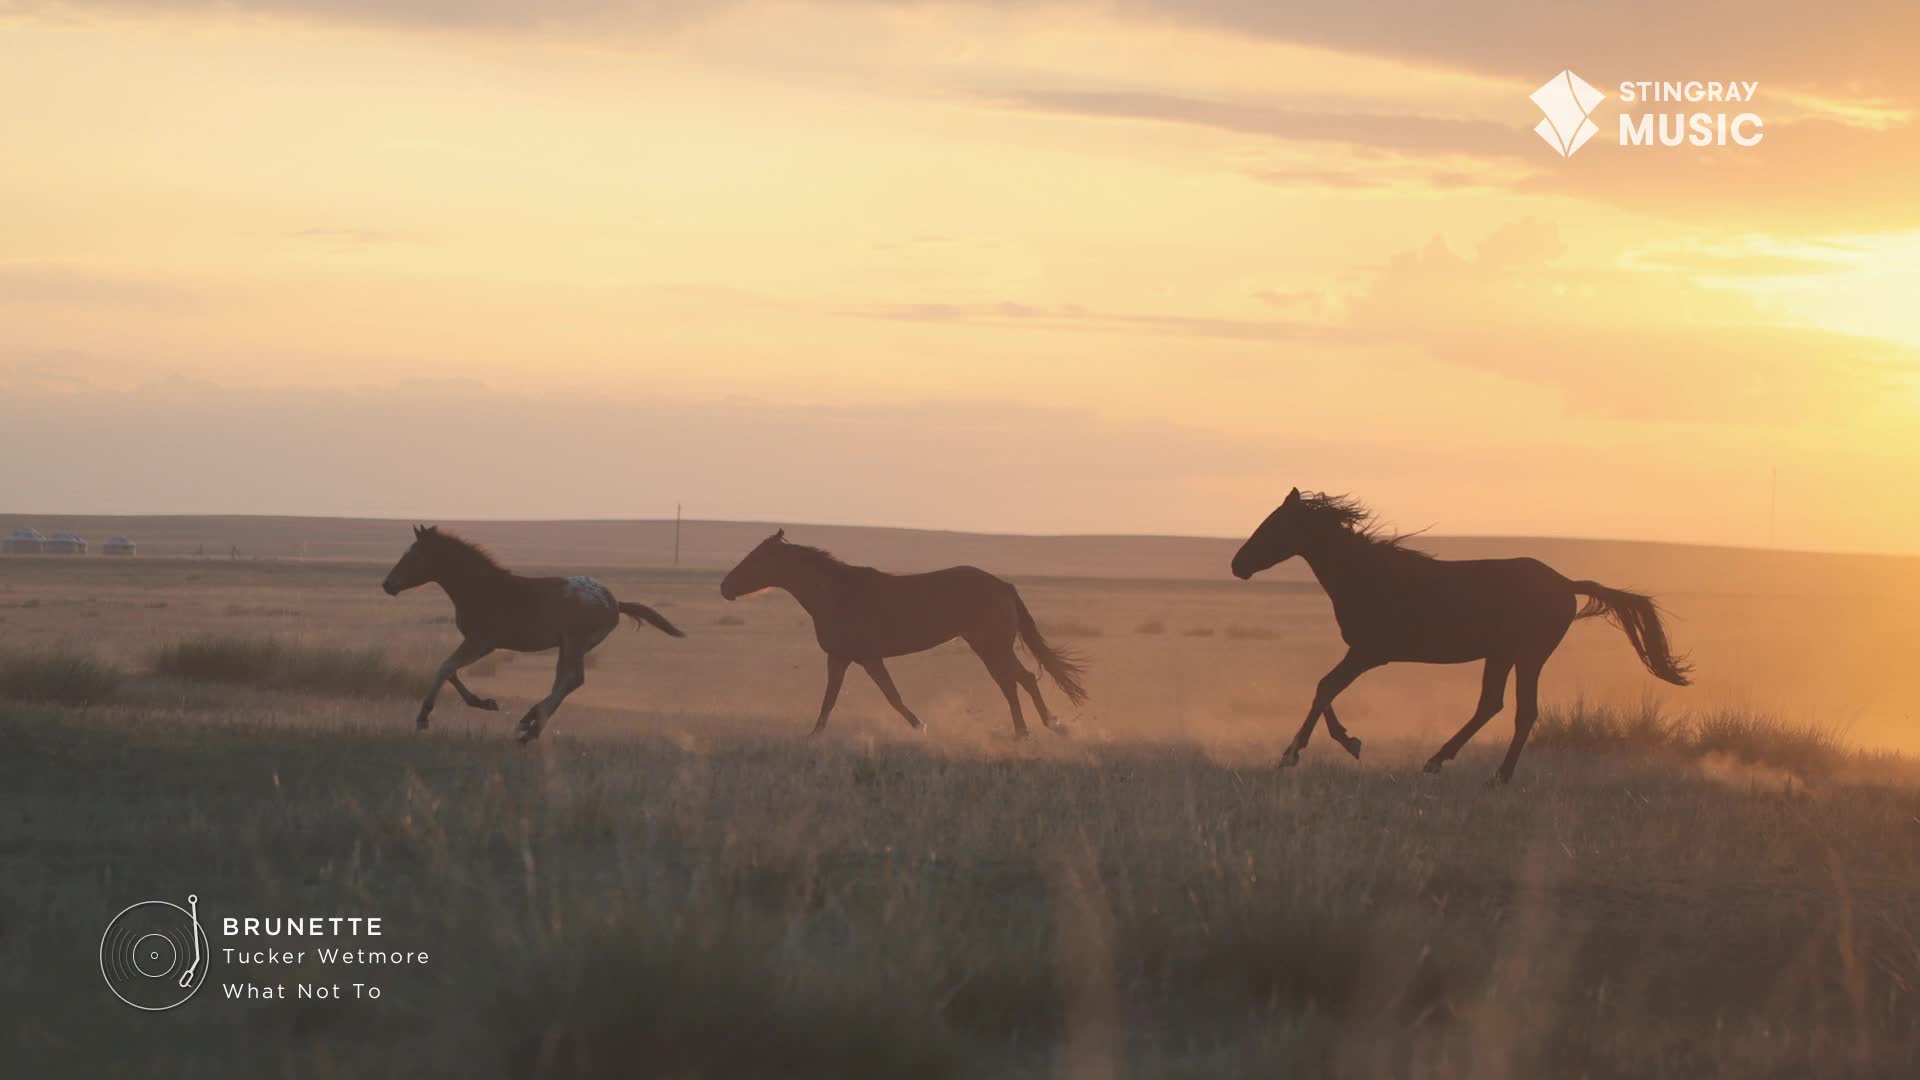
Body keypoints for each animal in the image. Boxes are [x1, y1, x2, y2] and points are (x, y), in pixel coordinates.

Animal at [381, 526, 685, 743]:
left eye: (414, 555)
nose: (387, 584)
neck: (481, 589)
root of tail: (614, 603)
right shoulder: (478, 643)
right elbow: (451, 670)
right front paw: (484, 702)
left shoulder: (481, 642)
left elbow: (445, 667)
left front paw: (423, 718)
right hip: (570, 646)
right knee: (565, 680)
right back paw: (530, 724)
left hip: (574, 642)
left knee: (572, 679)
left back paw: (529, 726)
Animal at [719, 529, 1088, 736]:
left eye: (754, 559)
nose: (724, 587)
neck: (838, 595)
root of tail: (1003, 586)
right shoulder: (841, 657)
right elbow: (830, 700)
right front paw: (813, 737)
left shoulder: (867, 658)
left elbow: (891, 696)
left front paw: (920, 726)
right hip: (987, 646)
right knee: (1012, 682)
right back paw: (1026, 730)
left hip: (992, 645)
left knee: (1020, 679)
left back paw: (1046, 726)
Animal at [1231, 489, 1691, 783]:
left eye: (1274, 526)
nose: (1238, 565)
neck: (1368, 575)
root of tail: (1565, 583)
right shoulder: (1364, 653)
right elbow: (1325, 689)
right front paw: (1345, 742)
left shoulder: (1368, 652)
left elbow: (1324, 687)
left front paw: (1301, 752)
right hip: (1502, 655)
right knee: (1491, 705)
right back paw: (1437, 761)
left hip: (1529, 655)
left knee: (1523, 712)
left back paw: (1497, 777)